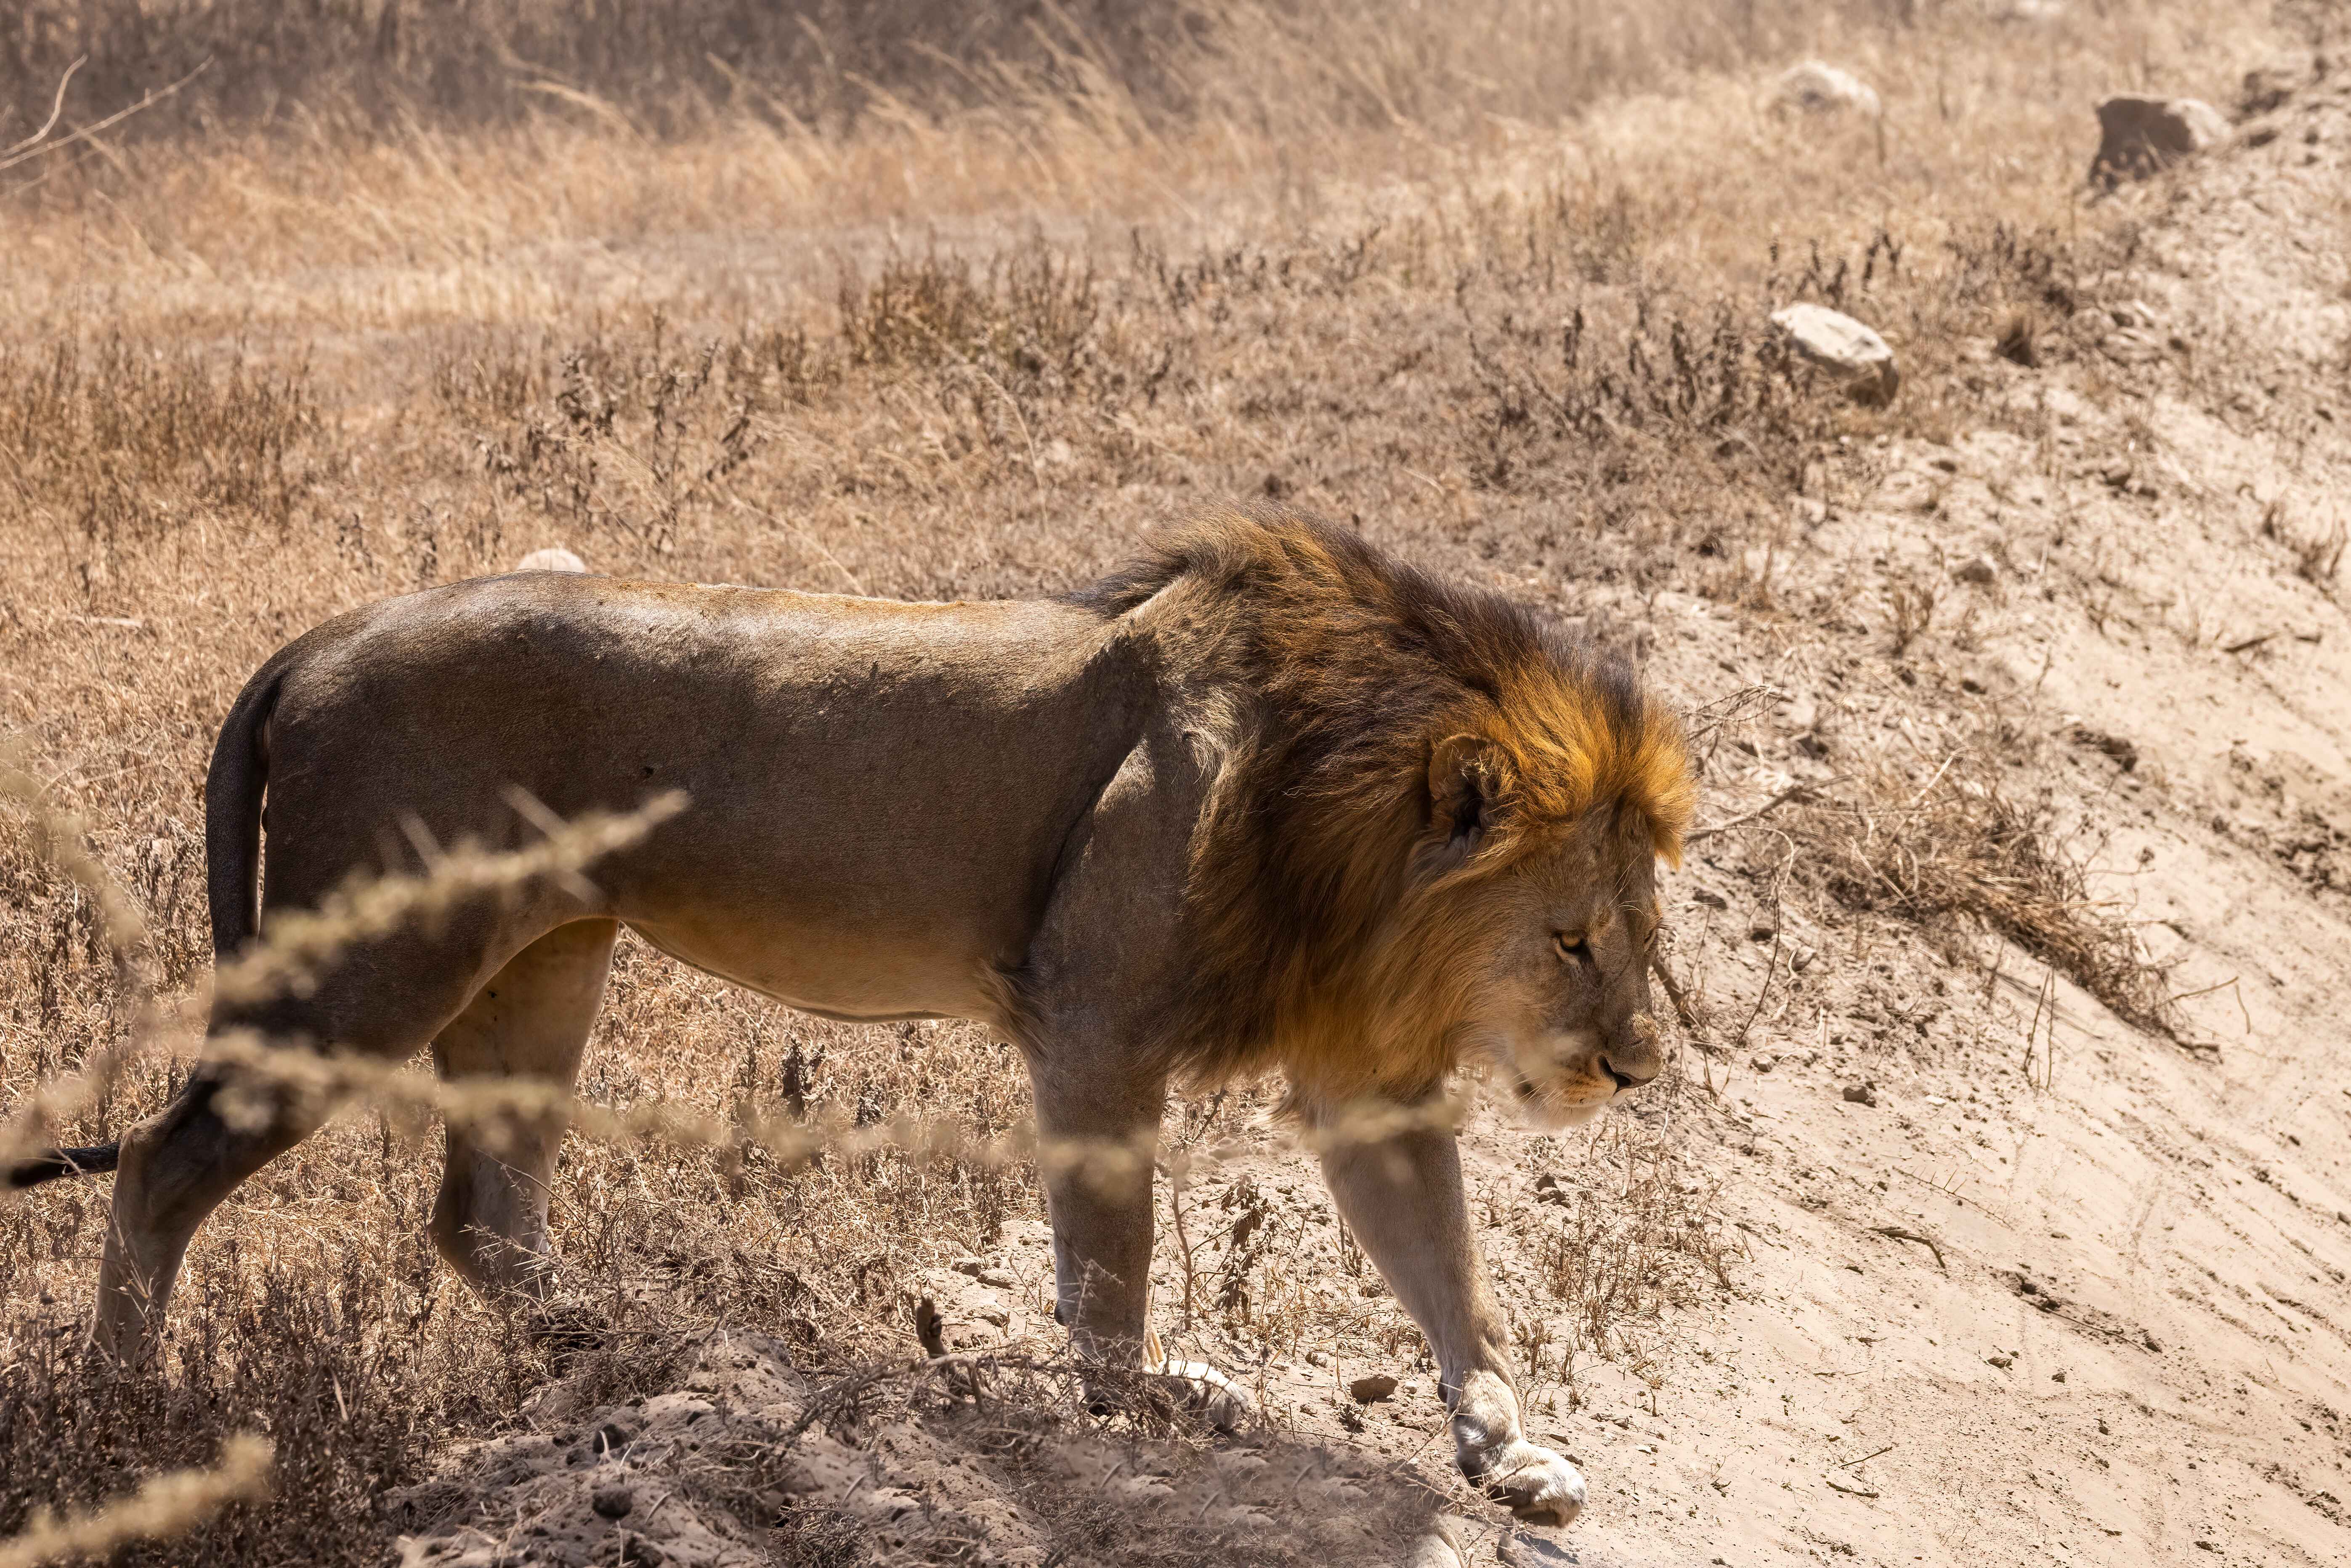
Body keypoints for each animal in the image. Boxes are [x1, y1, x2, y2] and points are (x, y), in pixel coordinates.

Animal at [10, 507, 1691, 1526]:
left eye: (1639, 937)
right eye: (1566, 940)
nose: (1631, 1067)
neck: (1338, 823)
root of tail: (324, 633)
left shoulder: (1368, 1075)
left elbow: (1450, 1276)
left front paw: (1511, 1453)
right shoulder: (1092, 1020)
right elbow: (1110, 1262)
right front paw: (1143, 1401)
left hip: (543, 959)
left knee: (476, 1209)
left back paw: (643, 1353)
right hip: (371, 964)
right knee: (163, 1163)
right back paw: (126, 1411)